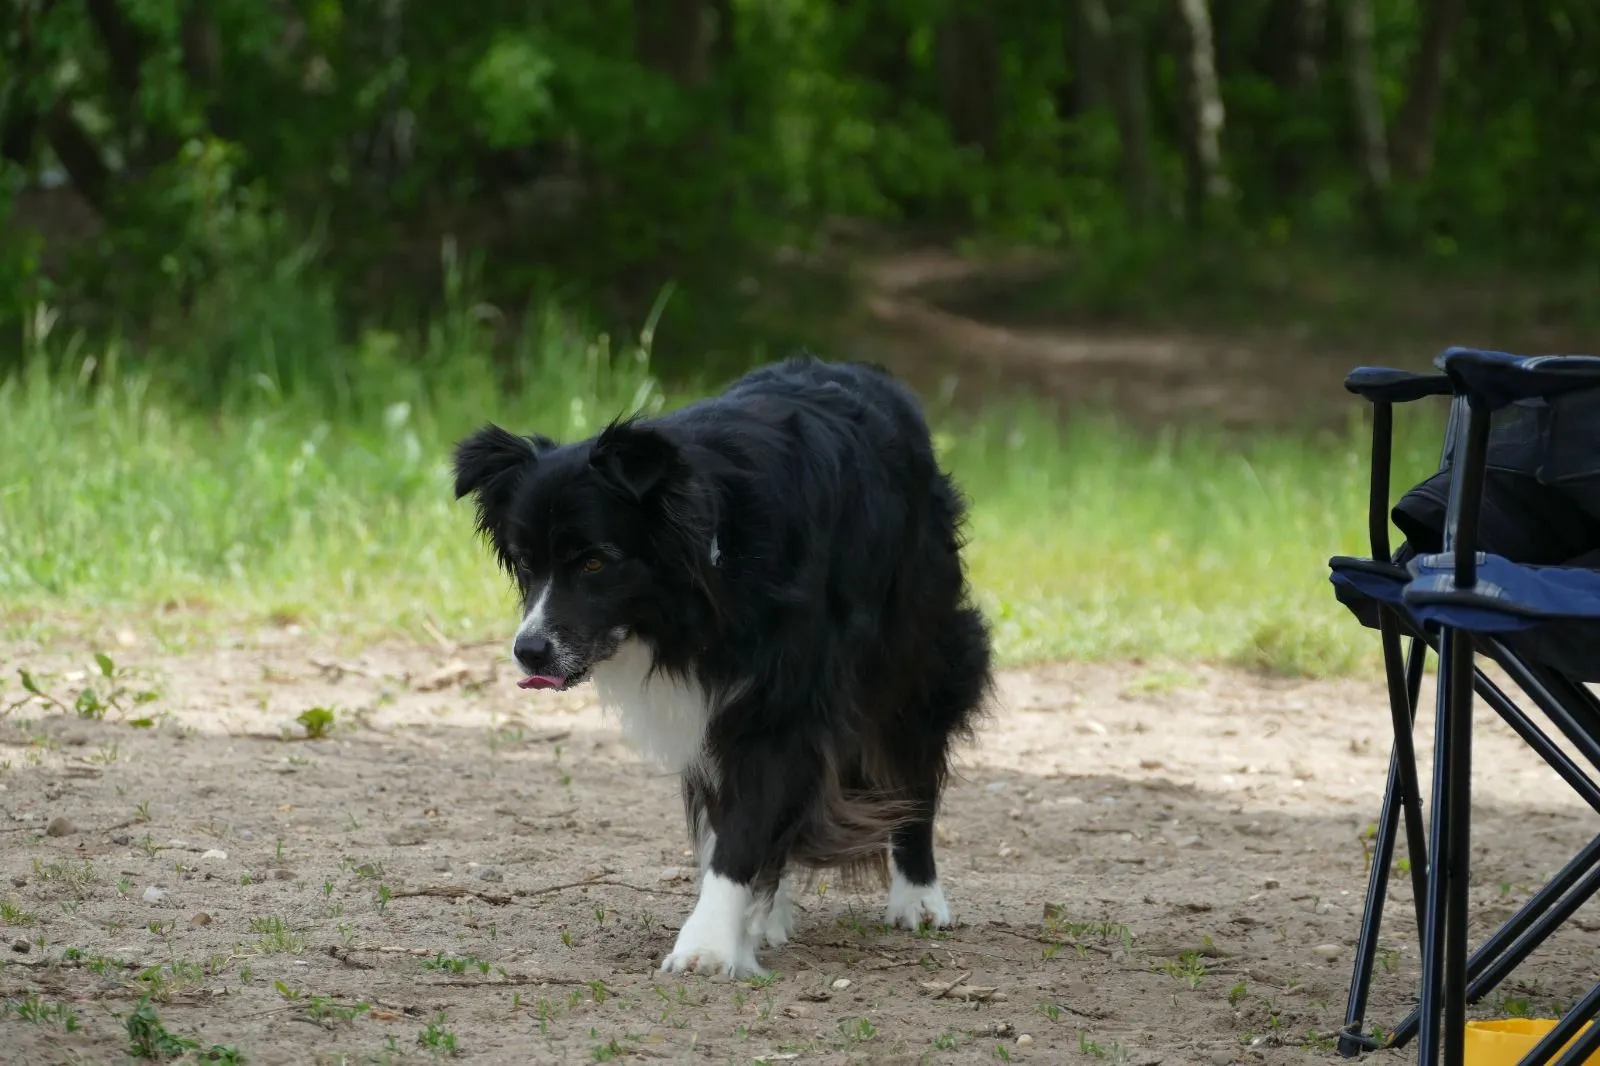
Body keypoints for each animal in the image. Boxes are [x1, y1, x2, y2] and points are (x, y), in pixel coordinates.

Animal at [452, 355, 993, 978]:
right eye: (524, 562)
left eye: (594, 562)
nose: (529, 651)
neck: (711, 559)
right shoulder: (705, 708)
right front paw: (742, 924)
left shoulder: (785, 687)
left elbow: (752, 810)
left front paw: (706, 945)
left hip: (918, 636)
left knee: (914, 750)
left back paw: (918, 897)